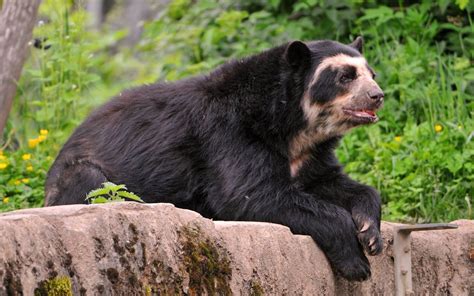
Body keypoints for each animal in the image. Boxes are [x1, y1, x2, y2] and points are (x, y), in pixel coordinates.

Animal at [44, 35, 386, 280]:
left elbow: (333, 182)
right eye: (345, 76)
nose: (377, 96)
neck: (292, 127)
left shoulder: (309, 155)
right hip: (80, 176)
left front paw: (371, 234)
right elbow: (250, 194)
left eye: (371, 74)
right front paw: (356, 262)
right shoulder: (229, 134)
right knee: (90, 182)